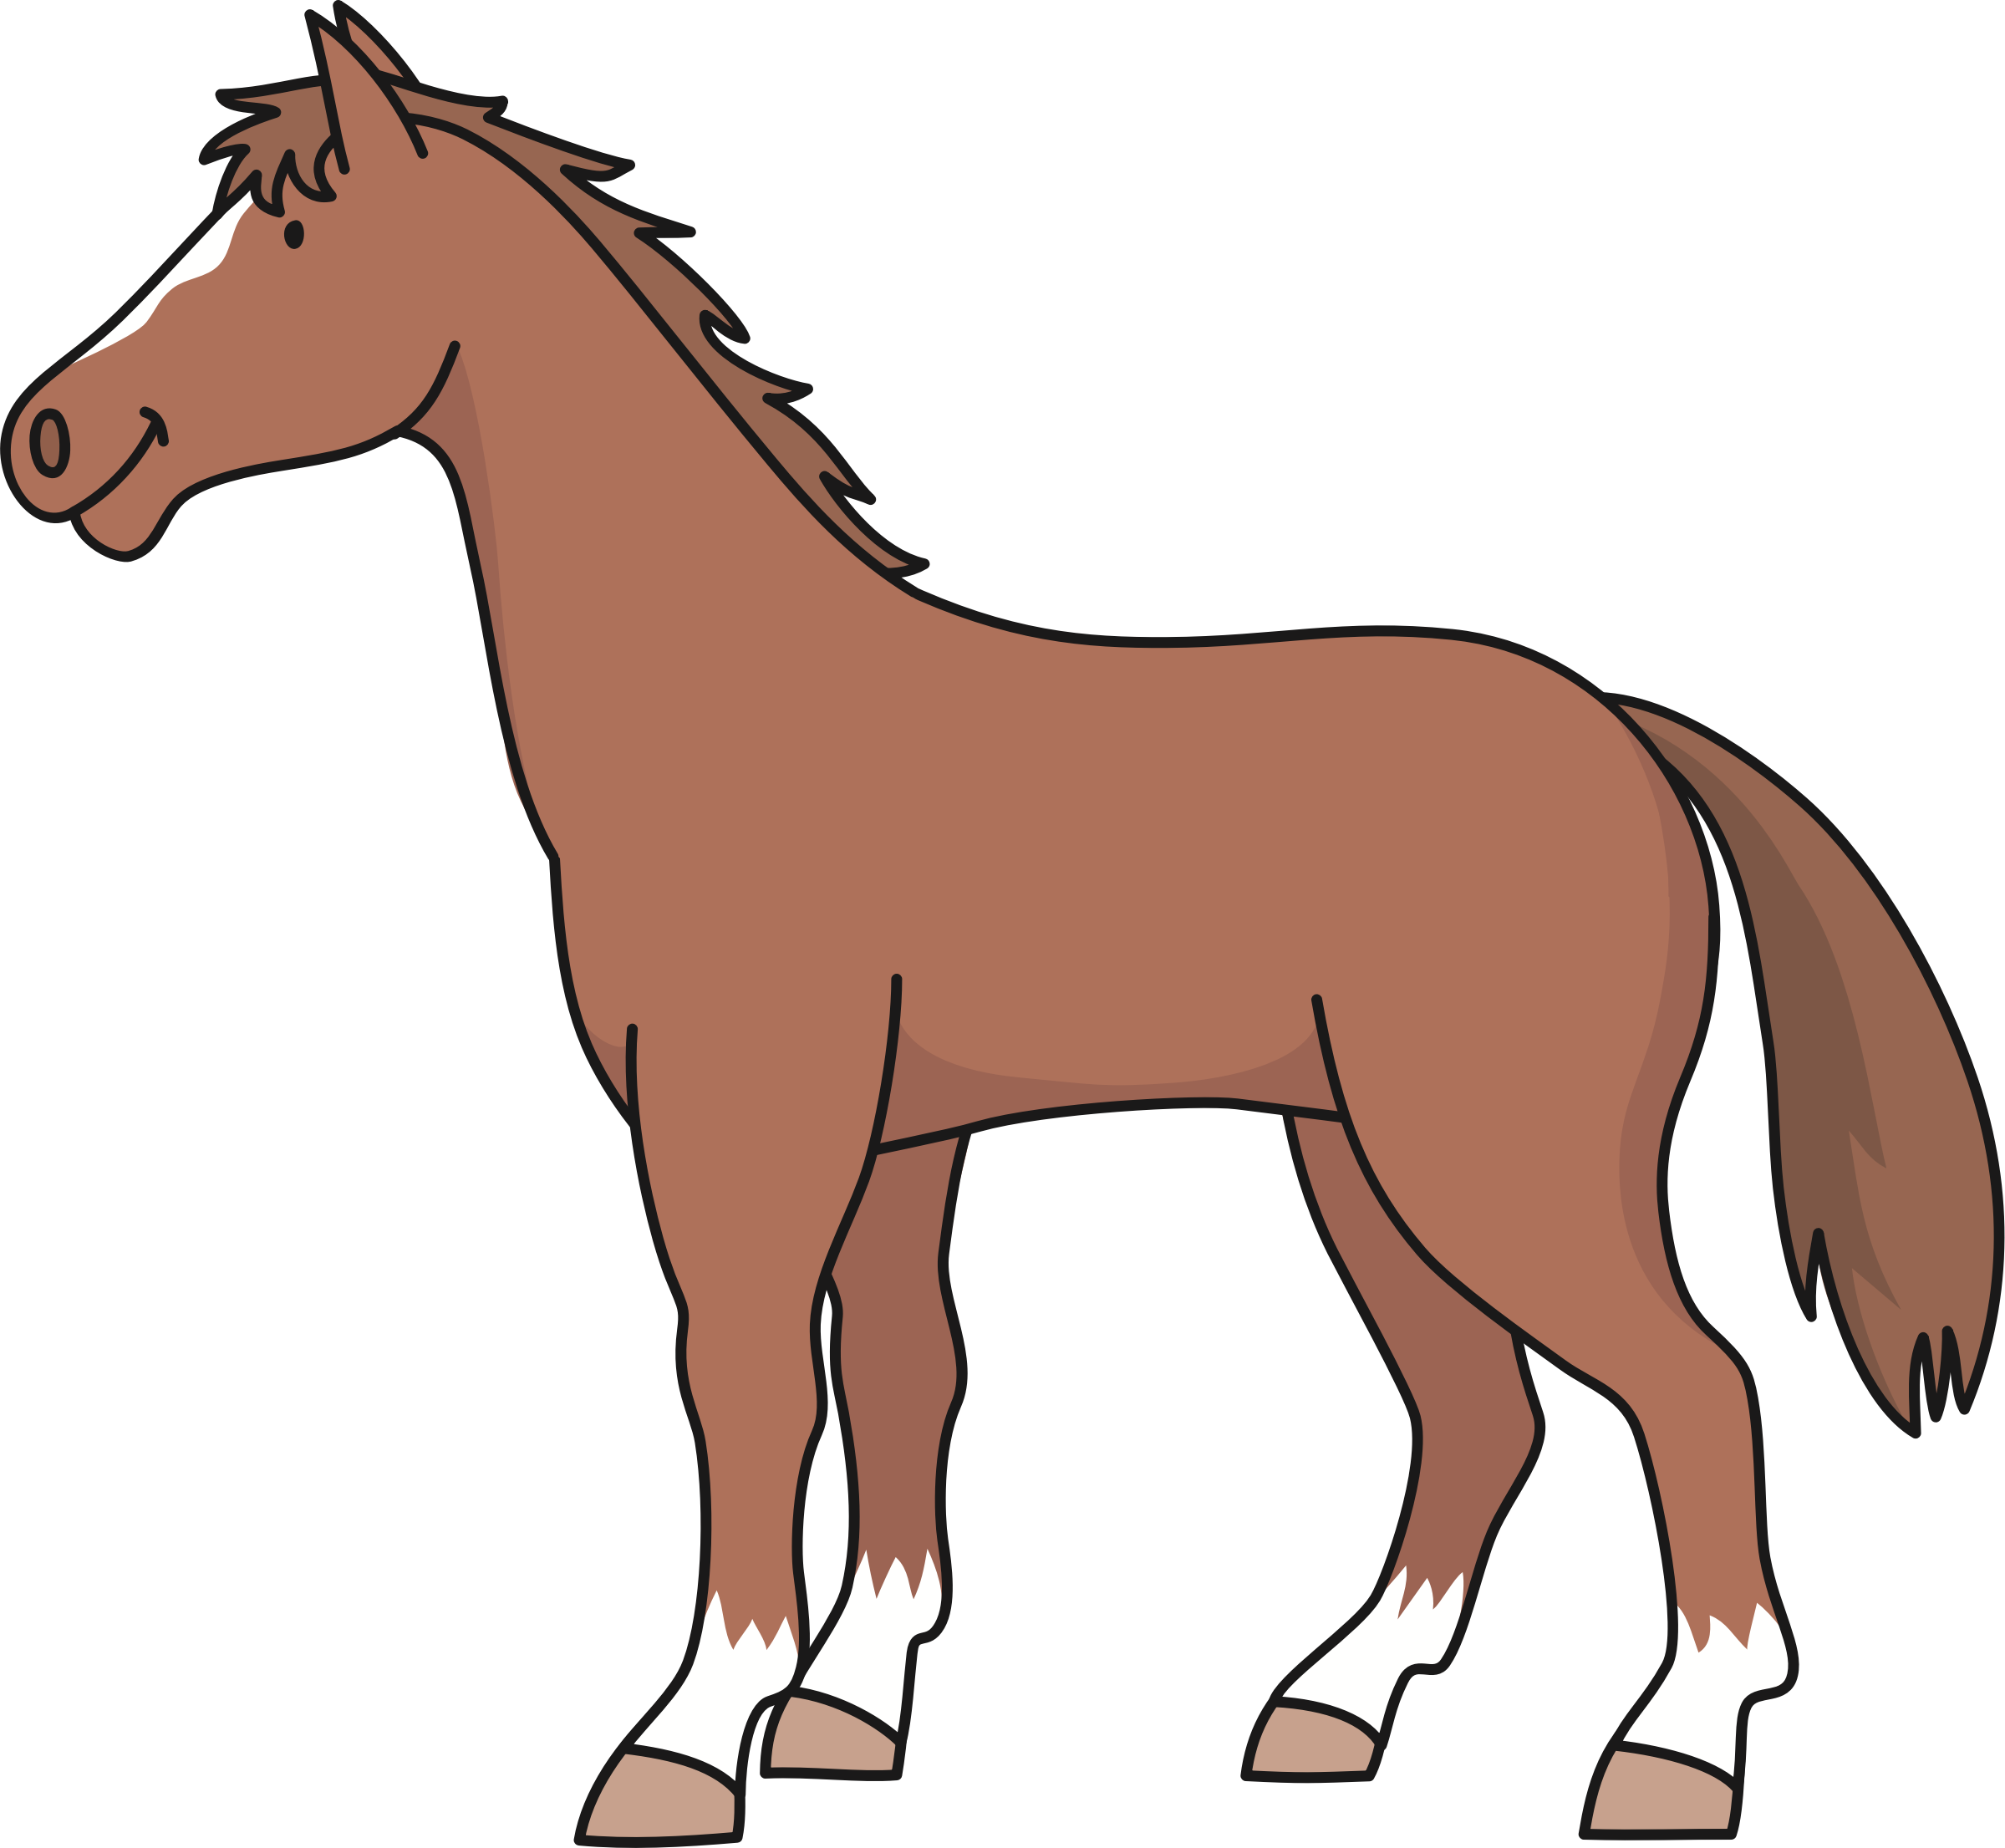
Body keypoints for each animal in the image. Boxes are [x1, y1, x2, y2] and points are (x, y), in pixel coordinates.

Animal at [6, 11, 1995, 1841]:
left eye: (294, 226)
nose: (49, 437)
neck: (730, 707)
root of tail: (1629, 737)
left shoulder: (744, 1121)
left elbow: (747, 1381)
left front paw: (685, 1740)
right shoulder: (893, 1138)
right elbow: (897, 1384)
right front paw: (839, 1708)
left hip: (1491, 1160)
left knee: (1688, 1386)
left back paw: (1671, 1752)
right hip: (1359, 1157)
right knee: (1479, 1410)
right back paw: (1324, 1713)